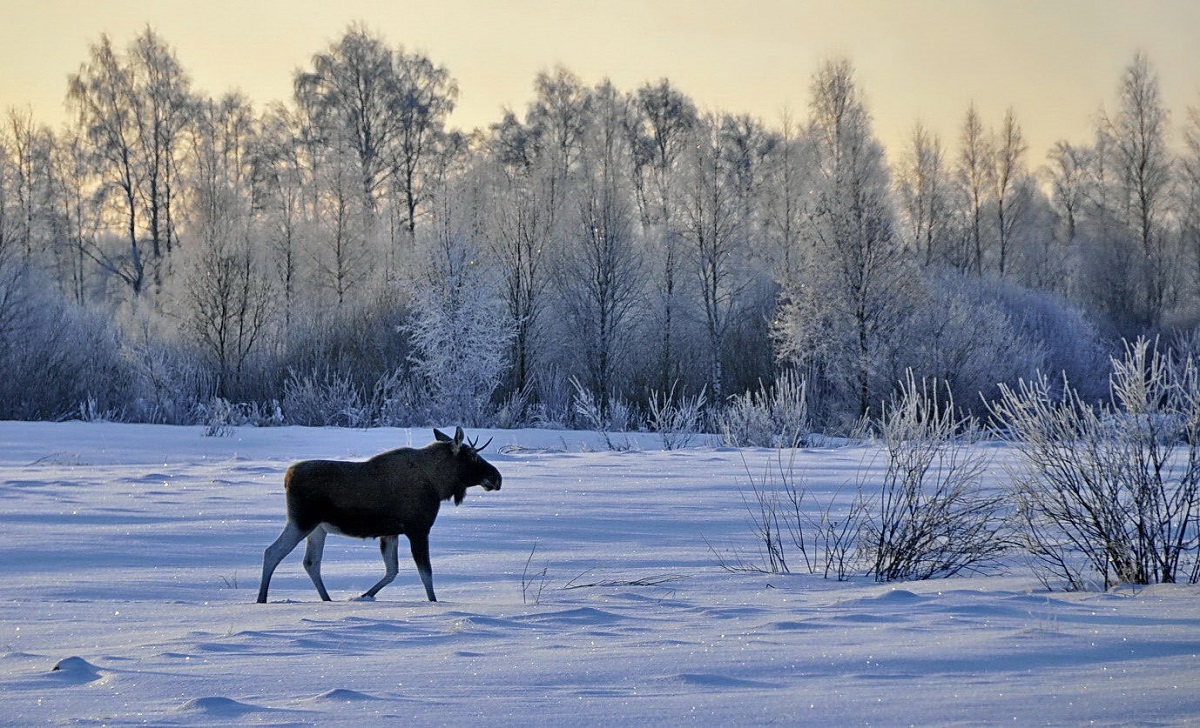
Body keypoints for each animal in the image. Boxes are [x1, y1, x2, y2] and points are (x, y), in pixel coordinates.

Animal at [258, 426, 501, 604]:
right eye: (472, 456)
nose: (497, 477)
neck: (438, 485)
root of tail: (287, 477)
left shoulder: (391, 533)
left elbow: (392, 571)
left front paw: (365, 595)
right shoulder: (418, 529)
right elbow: (426, 574)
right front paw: (433, 602)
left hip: (317, 528)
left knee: (311, 562)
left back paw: (327, 599)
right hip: (301, 521)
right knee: (272, 552)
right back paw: (262, 598)